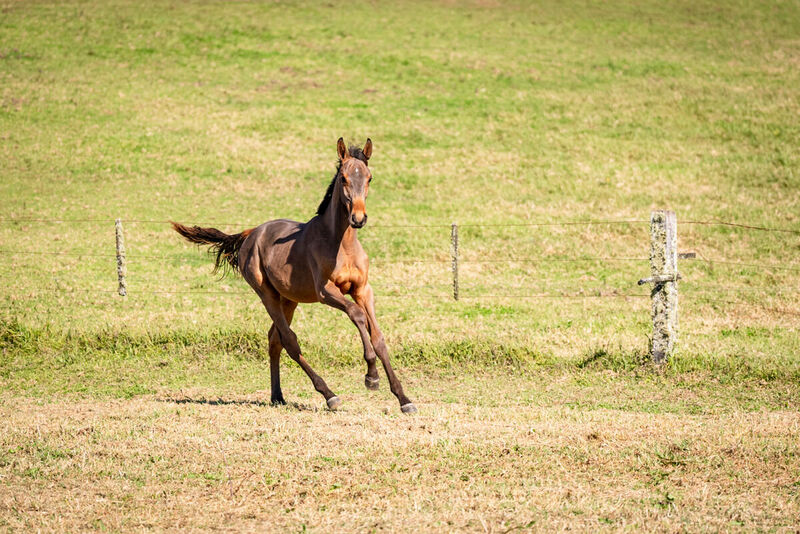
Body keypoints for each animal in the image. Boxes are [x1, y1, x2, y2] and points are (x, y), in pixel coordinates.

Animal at [170, 137, 418, 414]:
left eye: (369, 177)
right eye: (343, 178)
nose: (358, 218)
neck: (340, 243)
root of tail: (251, 233)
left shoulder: (363, 289)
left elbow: (378, 337)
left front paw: (404, 399)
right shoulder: (325, 291)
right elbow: (357, 315)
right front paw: (371, 377)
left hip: (289, 299)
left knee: (274, 338)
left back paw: (277, 396)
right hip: (267, 295)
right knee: (288, 340)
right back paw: (329, 395)